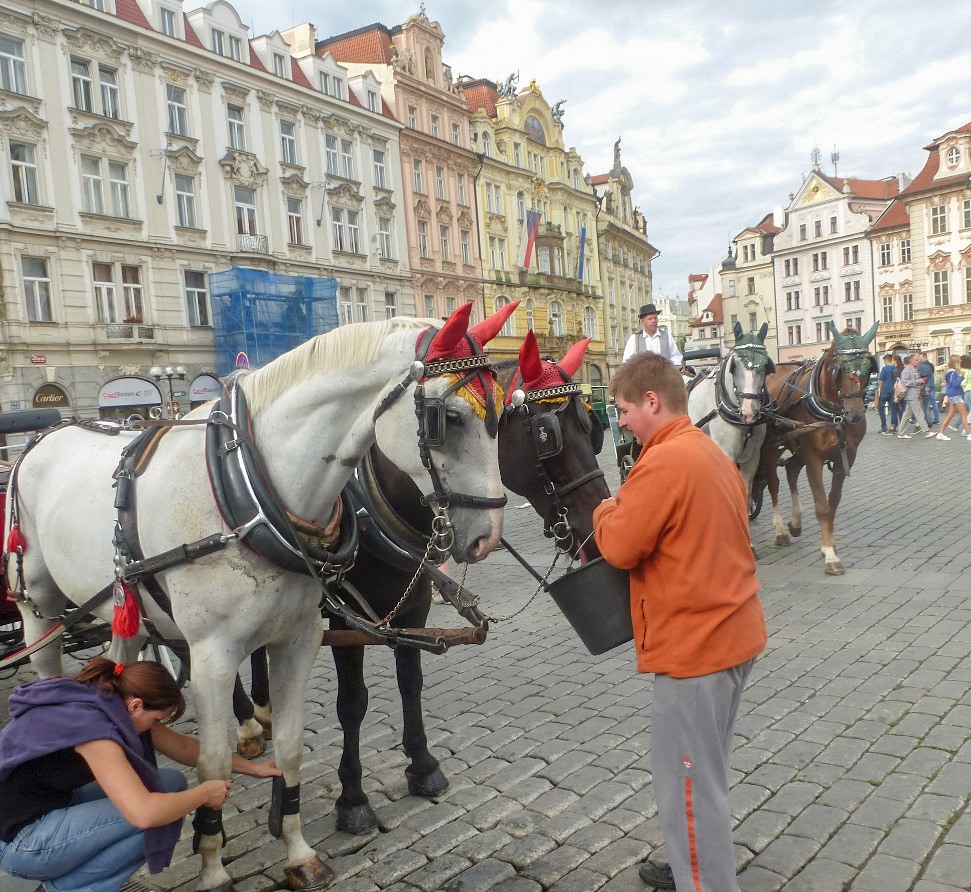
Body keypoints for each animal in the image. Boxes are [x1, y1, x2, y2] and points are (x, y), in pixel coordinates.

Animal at [3, 302, 516, 892]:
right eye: (448, 418)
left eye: (503, 416)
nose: (487, 536)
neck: (251, 488)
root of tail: (44, 435)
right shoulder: (212, 652)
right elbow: (214, 765)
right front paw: (212, 863)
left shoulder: (301, 637)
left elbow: (291, 747)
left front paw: (297, 851)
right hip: (38, 604)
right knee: (49, 669)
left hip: (124, 606)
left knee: (120, 661)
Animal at [692, 322, 776, 516]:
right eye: (735, 365)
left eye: (765, 365)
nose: (749, 412)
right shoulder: (727, 455)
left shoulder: (752, 458)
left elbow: (745, 494)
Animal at [760, 324, 880, 576]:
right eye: (839, 368)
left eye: (868, 367)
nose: (855, 414)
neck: (834, 414)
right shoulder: (814, 457)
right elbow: (822, 506)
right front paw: (831, 557)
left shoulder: (846, 457)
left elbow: (832, 502)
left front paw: (829, 546)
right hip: (771, 447)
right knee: (773, 483)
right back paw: (780, 530)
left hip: (797, 448)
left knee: (791, 471)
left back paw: (795, 523)